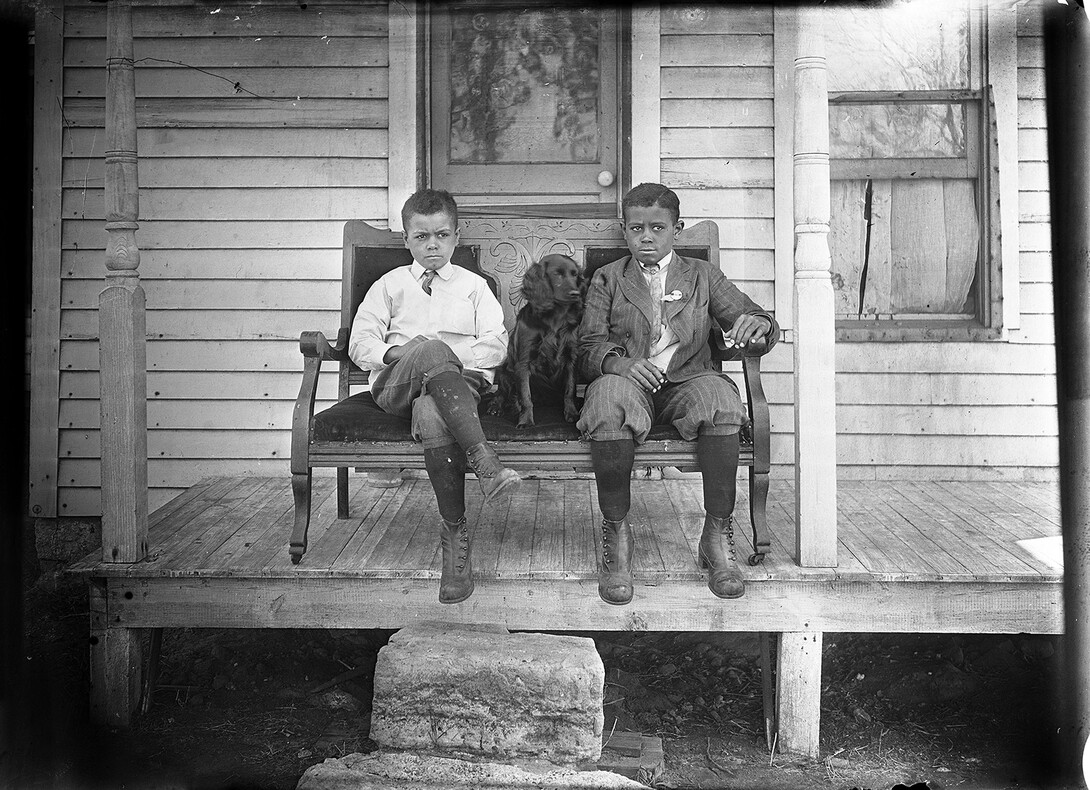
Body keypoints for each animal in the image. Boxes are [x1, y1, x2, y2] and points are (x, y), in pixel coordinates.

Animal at [490, 253, 584, 429]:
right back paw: (495, 407)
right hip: (506, 372)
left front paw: (572, 414)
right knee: (501, 394)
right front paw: (526, 421)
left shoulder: (571, 358)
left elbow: (570, 390)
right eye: (557, 274)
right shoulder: (523, 362)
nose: (576, 293)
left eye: (575, 275)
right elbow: (525, 396)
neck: (554, 318)